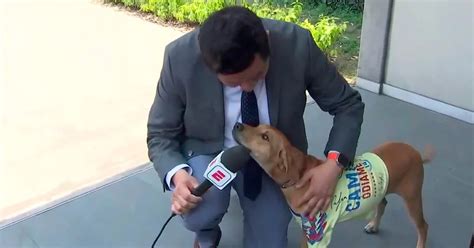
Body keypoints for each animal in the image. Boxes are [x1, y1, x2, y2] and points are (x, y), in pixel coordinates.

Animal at [231, 122, 436, 248]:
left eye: (265, 137)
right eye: (257, 125)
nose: (237, 124)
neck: (299, 174)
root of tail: (416, 153)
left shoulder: (320, 233)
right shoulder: (307, 230)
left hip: (412, 198)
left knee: (424, 226)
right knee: (383, 203)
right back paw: (373, 225)